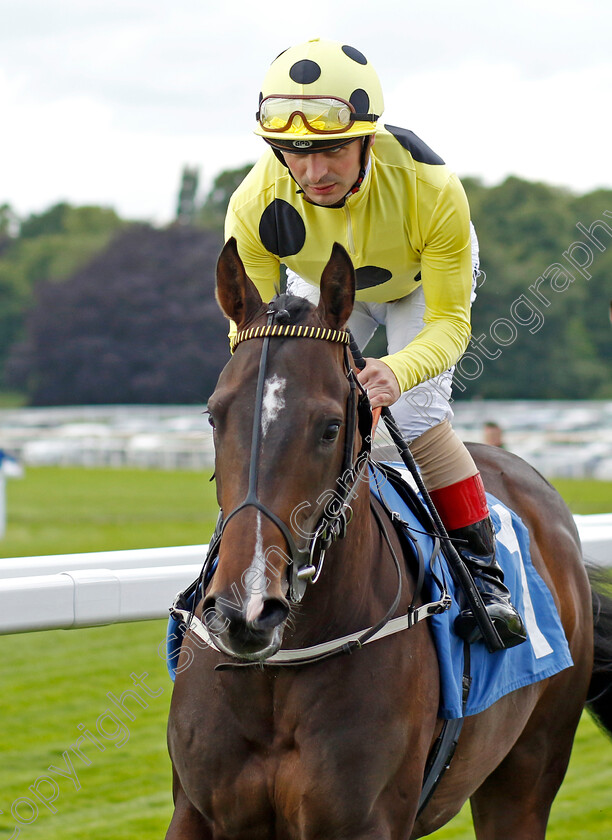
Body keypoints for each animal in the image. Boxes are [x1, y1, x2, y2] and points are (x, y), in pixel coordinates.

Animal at [165, 236, 608, 840]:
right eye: (213, 416)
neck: (278, 670)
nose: (245, 609)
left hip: (527, 772)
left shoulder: (366, 820)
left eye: (330, 427)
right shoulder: (195, 812)